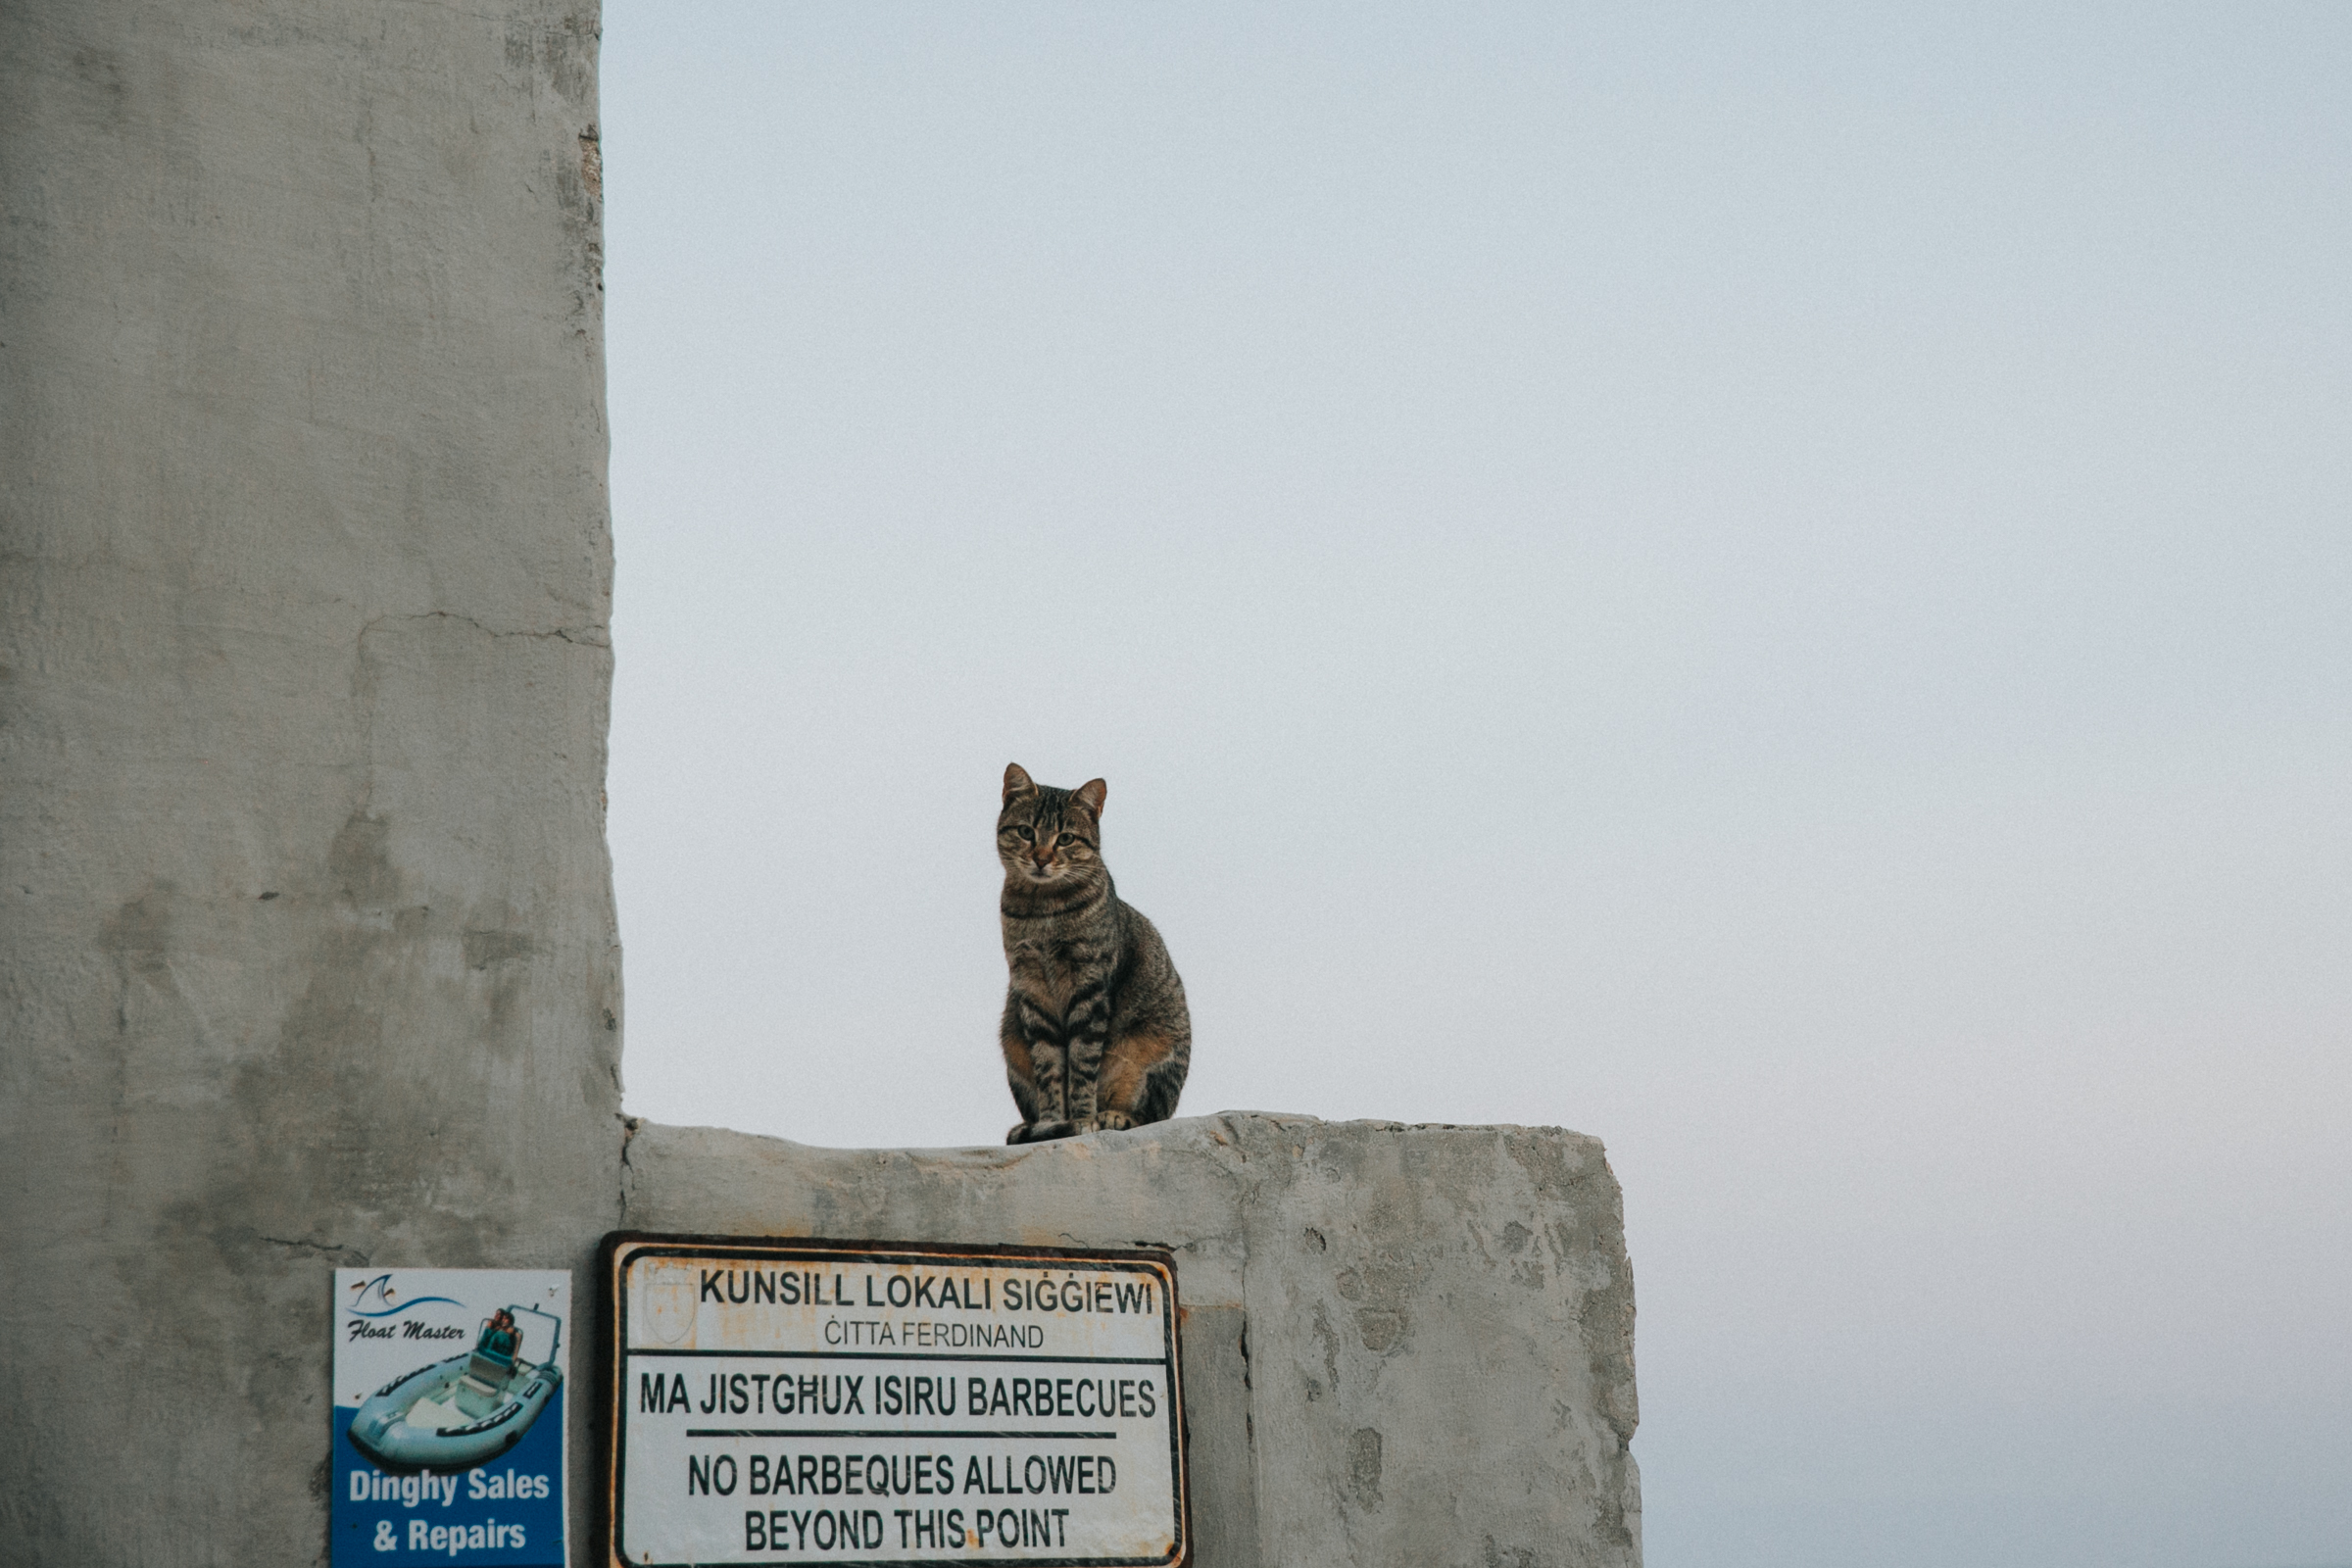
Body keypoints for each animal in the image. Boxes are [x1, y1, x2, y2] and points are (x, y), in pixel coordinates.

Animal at [992, 766, 1185, 1147]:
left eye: (1065, 838)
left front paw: (1082, 1118)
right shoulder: (1031, 989)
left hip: (1156, 1048)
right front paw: (1053, 1120)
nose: (1041, 858)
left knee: (1149, 1116)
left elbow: (1082, 1063)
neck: (1043, 910)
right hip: (1011, 1039)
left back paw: (1114, 1115)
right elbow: (1049, 1067)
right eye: (1026, 832)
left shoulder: (1089, 986)